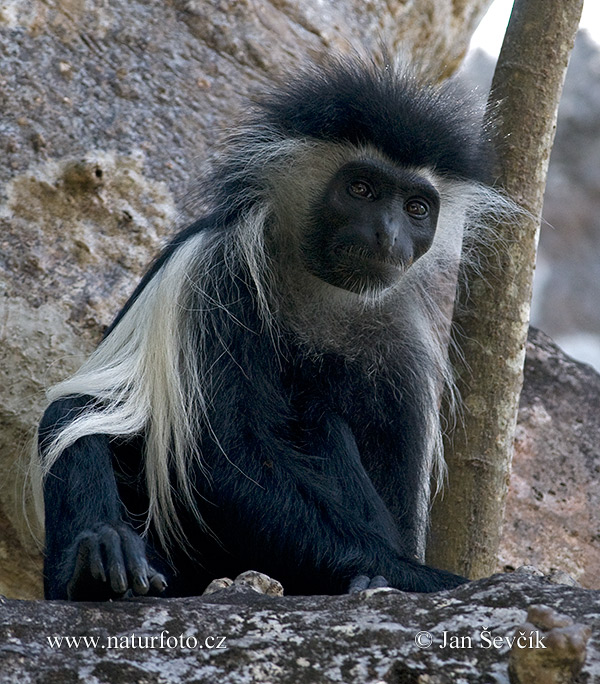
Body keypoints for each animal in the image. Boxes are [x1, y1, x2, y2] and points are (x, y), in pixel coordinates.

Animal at [36, 56, 502, 600]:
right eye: (361, 189)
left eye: (416, 208)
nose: (388, 234)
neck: (323, 294)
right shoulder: (217, 277)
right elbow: (222, 463)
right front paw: (426, 578)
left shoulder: (402, 349)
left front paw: (397, 569)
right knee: (77, 418)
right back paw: (99, 563)